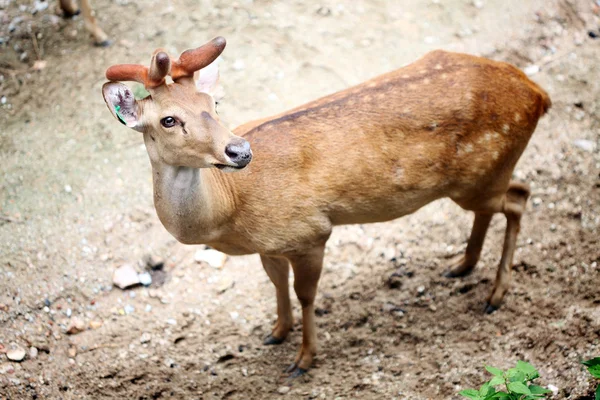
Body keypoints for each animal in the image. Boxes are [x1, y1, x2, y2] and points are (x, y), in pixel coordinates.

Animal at [99, 36, 552, 378]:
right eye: (168, 120)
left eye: (213, 106)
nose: (239, 150)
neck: (233, 211)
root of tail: (538, 93)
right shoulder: (271, 243)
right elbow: (277, 285)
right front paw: (276, 332)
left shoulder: (310, 231)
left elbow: (306, 294)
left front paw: (304, 360)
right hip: (479, 179)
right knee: (504, 202)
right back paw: (462, 264)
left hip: (485, 173)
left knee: (519, 197)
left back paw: (495, 294)